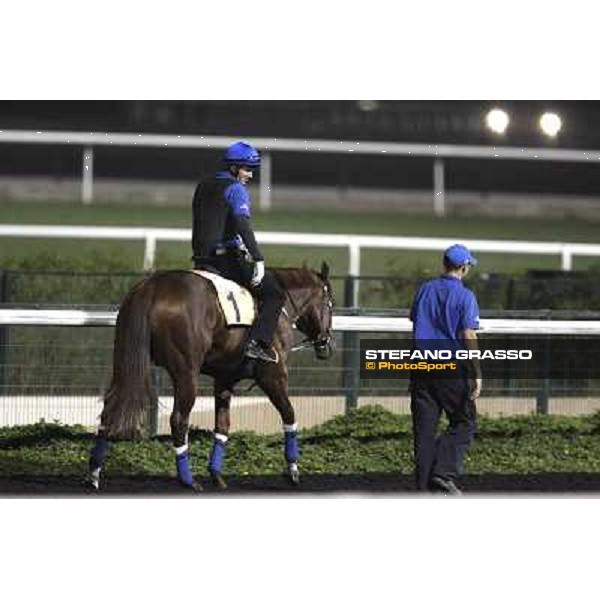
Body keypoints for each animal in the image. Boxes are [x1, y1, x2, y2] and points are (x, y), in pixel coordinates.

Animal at [88, 262, 336, 492]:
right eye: (330, 303)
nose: (326, 344)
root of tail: (152, 287)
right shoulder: (272, 376)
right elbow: (289, 415)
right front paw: (293, 470)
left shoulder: (225, 379)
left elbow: (223, 426)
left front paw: (216, 473)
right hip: (186, 372)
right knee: (178, 419)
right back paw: (188, 480)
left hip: (127, 362)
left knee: (110, 408)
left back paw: (94, 473)